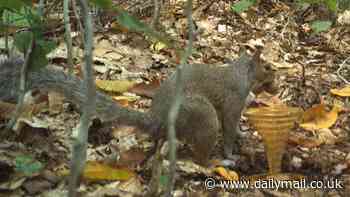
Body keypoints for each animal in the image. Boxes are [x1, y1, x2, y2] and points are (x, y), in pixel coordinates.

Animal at [0, 50, 274, 165]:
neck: (241, 74)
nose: (276, 80)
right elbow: (228, 127)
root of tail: (158, 120)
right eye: (268, 67)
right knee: (201, 159)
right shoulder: (233, 101)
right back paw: (219, 163)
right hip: (203, 116)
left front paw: (243, 134)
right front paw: (231, 152)